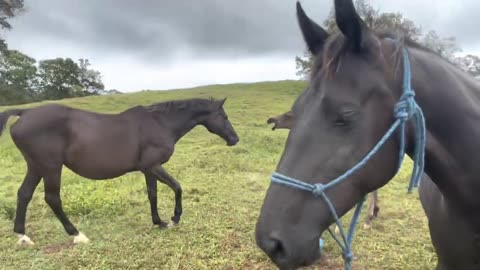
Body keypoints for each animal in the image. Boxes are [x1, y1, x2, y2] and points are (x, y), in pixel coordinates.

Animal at [0, 97, 239, 247]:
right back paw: (77, 235)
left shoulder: (149, 169)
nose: (234, 139)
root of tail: (25, 113)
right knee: (52, 198)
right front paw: (170, 219)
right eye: (224, 116)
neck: (160, 123)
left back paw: (23, 236)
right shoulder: (153, 166)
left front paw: (164, 221)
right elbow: (171, 189)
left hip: (36, 166)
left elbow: (159, 192)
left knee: (24, 194)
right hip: (50, 167)